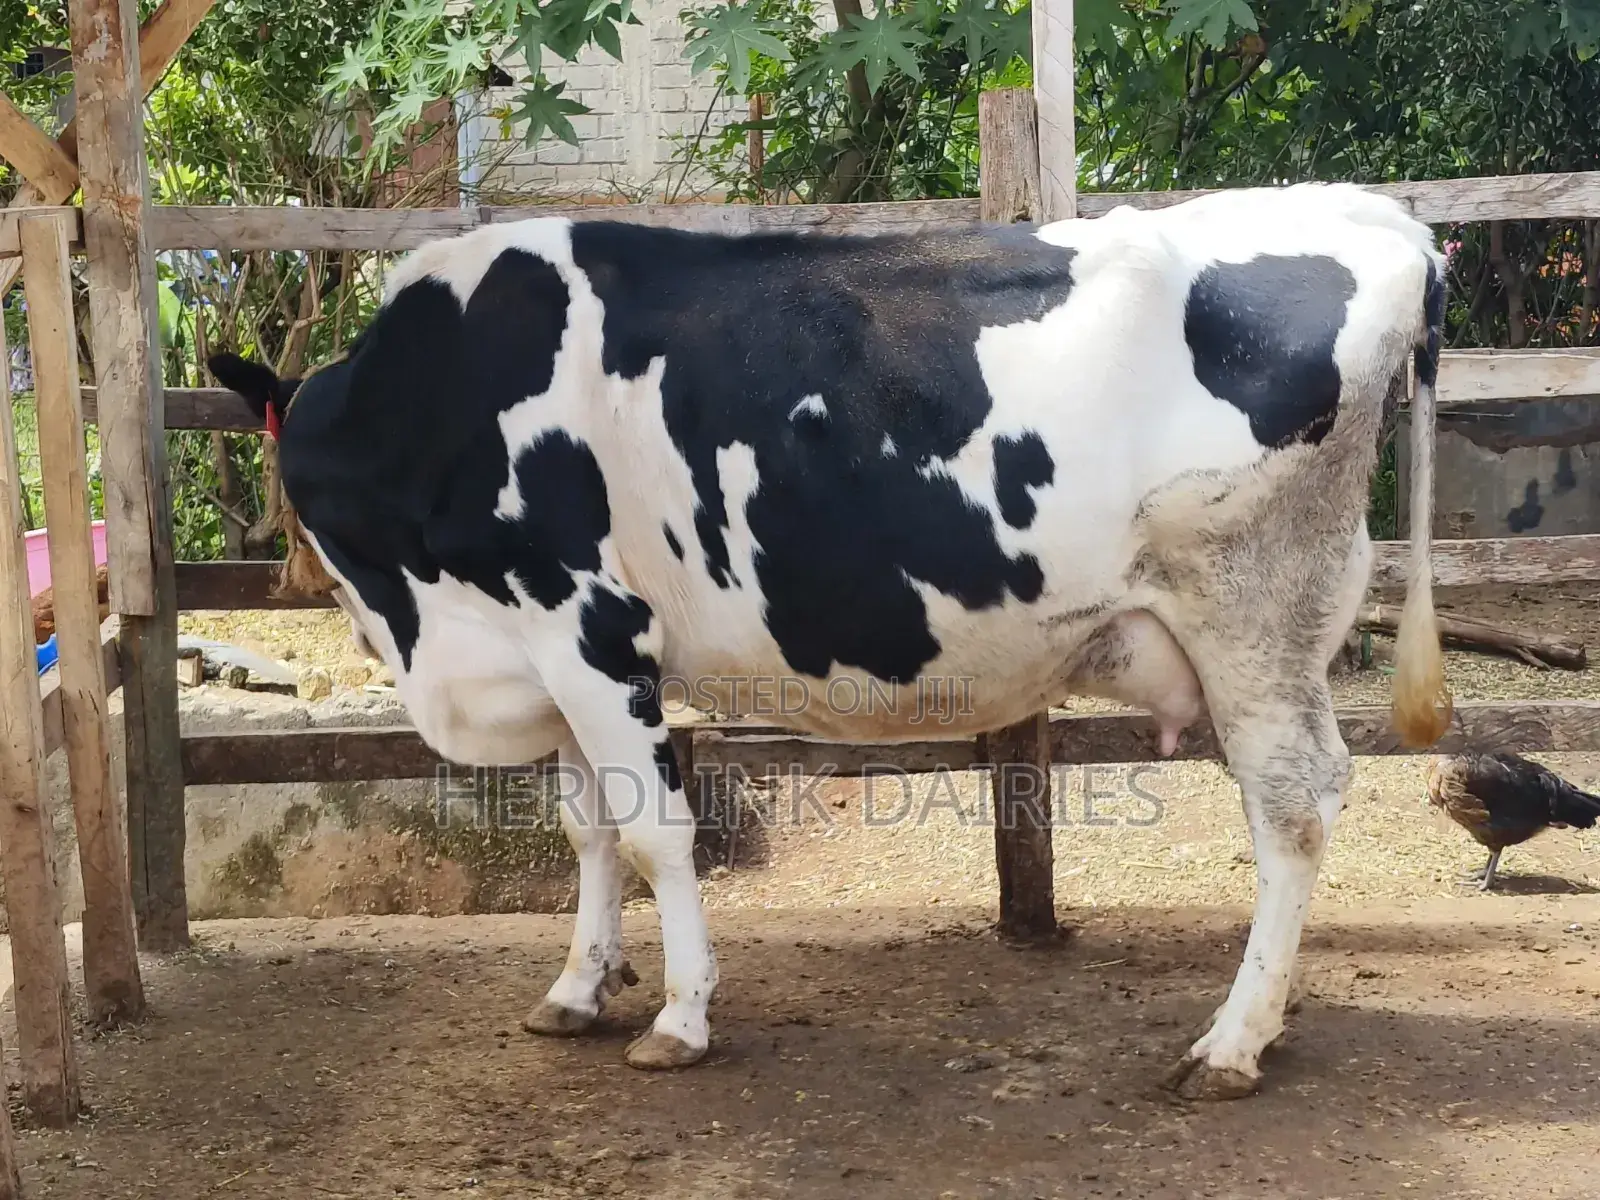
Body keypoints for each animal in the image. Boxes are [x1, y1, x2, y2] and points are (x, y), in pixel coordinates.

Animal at [207, 179, 1452, 1100]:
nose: (283, 562)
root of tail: (1374, 216)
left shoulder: (591, 627)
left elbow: (655, 835)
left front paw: (680, 1016)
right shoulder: (542, 656)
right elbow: (587, 834)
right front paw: (576, 989)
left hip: (1251, 609)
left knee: (1294, 806)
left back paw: (1231, 1043)